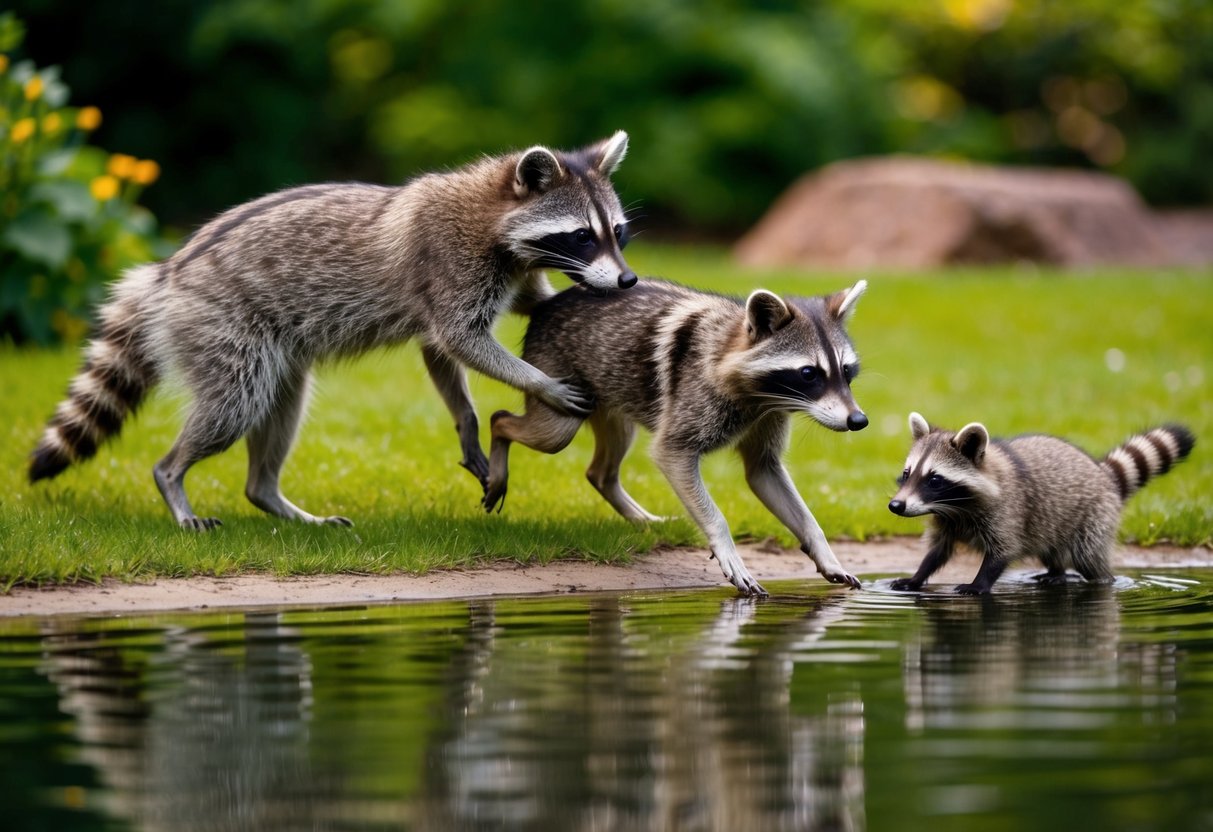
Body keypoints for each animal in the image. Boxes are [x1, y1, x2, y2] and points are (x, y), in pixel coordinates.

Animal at [29, 133, 636, 529]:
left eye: (619, 233)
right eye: (582, 235)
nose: (628, 279)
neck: (493, 211)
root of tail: (166, 274)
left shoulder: (499, 275)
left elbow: (445, 348)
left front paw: (465, 421)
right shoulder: (450, 262)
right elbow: (461, 338)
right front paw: (539, 381)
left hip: (273, 349)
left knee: (280, 409)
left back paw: (269, 494)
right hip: (220, 326)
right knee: (234, 405)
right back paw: (173, 476)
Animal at [482, 278, 870, 596]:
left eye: (846, 371)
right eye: (809, 374)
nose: (859, 420)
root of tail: (551, 302)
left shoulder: (769, 417)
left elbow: (764, 472)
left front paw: (822, 547)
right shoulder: (695, 403)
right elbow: (675, 456)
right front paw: (724, 542)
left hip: (613, 395)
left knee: (603, 465)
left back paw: (627, 504)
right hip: (557, 385)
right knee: (529, 427)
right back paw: (499, 436)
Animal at [888, 413, 1195, 594]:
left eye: (934, 479)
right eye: (907, 473)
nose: (896, 506)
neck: (955, 507)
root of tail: (1103, 475)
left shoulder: (1006, 512)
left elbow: (1003, 551)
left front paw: (979, 583)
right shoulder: (946, 521)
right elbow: (938, 551)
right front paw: (918, 576)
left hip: (1093, 518)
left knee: (1089, 558)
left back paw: (1101, 580)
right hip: (1051, 524)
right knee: (1052, 549)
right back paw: (1056, 572)